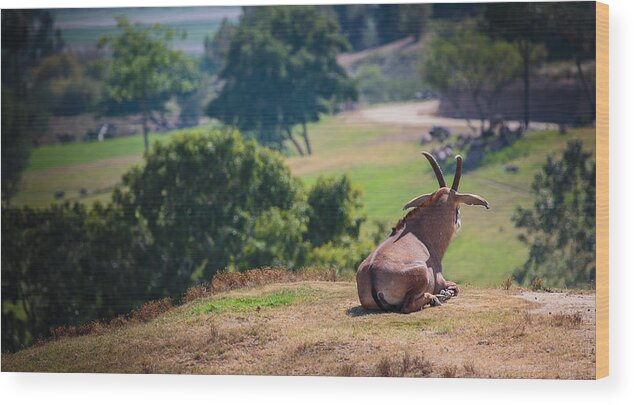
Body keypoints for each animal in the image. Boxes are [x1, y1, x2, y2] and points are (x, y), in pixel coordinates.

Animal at [356, 152, 488, 312]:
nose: (458, 222)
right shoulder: (441, 280)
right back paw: (436, 298)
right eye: (457, 208)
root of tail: (372, 276)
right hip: (423, 273)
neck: (420, 232)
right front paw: (446, 293)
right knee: (408, 306)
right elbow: (456, 288)